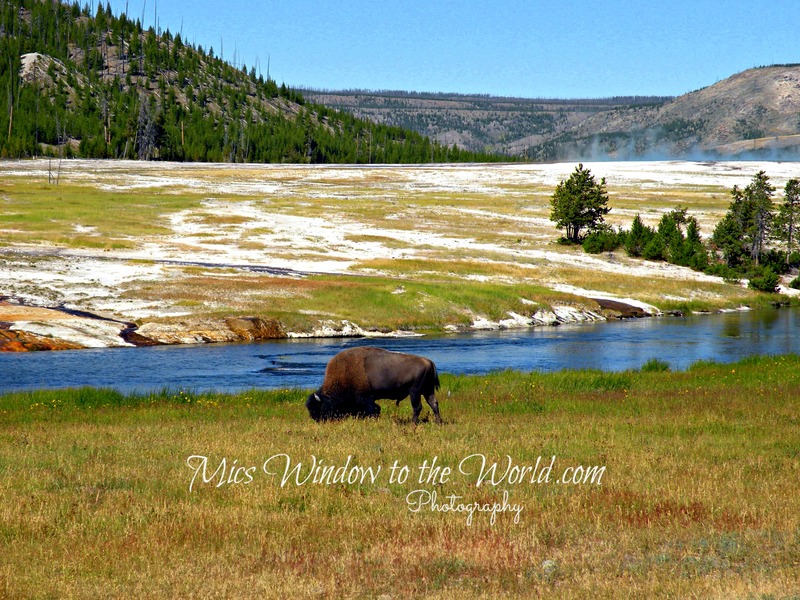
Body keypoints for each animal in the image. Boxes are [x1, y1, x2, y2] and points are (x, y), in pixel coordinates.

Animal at [306, 346, 442, 424]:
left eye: (318, 408)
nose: (317, 420)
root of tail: (428, 361)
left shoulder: (365, 398)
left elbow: (373, 409)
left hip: (415, 392)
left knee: (417, 407)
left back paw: (413, 423)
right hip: (427, 390)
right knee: (434, 403)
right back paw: (438, 422)